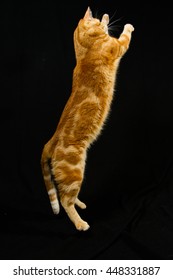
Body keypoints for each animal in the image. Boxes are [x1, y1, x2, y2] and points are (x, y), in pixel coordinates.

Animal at [40, 7, 134, 230]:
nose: (102, 19)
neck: (83, 50)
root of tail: (51, 141)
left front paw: (107, 20)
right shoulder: (117, 46)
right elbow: (124, 37)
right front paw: (122, 25)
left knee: (68, 196)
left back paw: (81, 203)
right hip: (74, 172)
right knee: (65, 201)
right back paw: (80, 223)